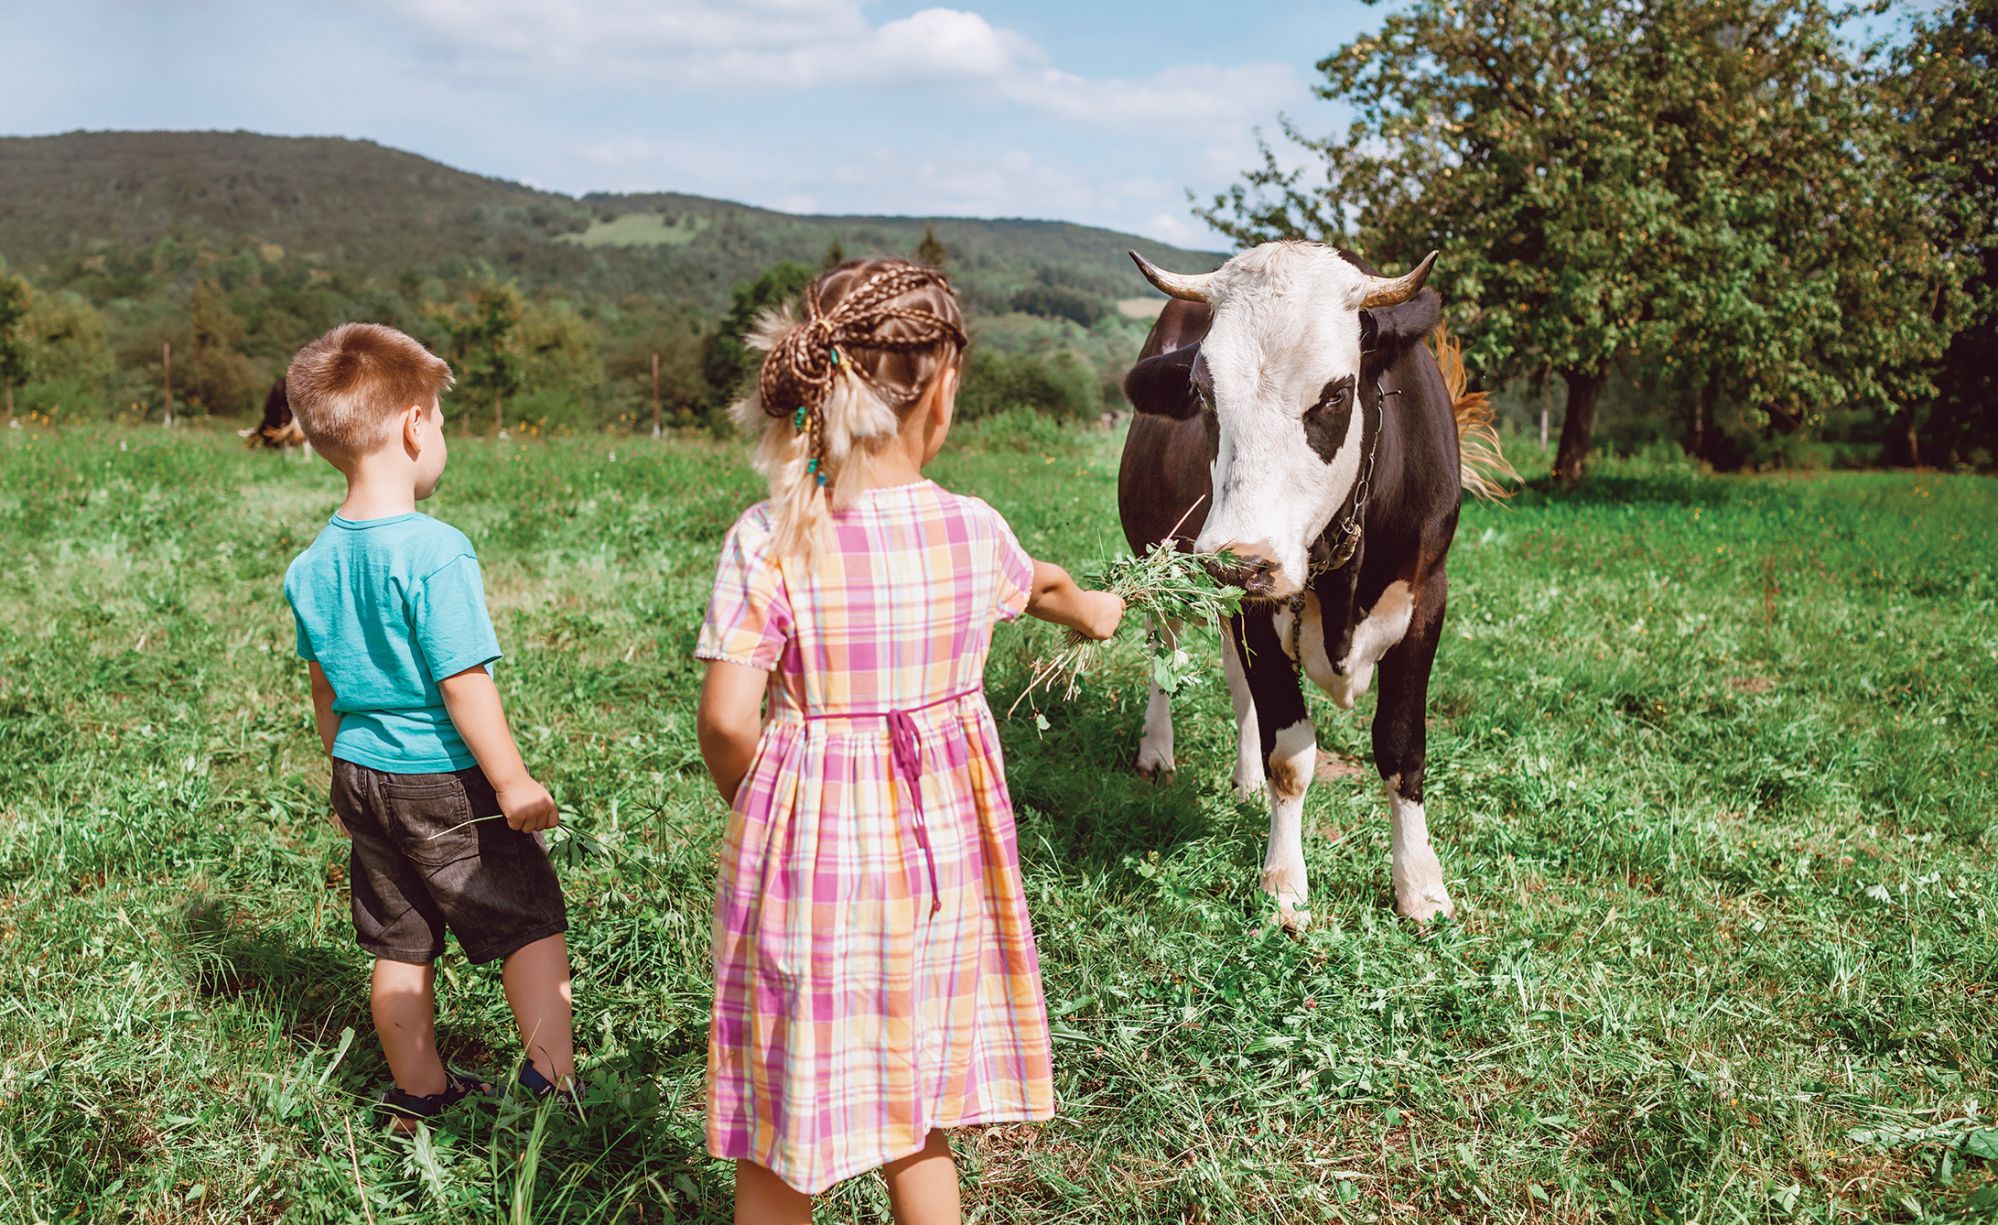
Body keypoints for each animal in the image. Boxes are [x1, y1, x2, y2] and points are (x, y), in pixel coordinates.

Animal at [1118, 238, 1502, 927]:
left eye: (1336, 394)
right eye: (1202, 393)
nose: (1237, 561)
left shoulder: (1427, 598)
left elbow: (1402, 748)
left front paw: (1420, 884)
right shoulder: (1250, 605)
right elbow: (1291, 754)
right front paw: (1283, 881)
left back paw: (1242, 779)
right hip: (1164, 567)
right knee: (1168, 649)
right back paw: (1157, 751)